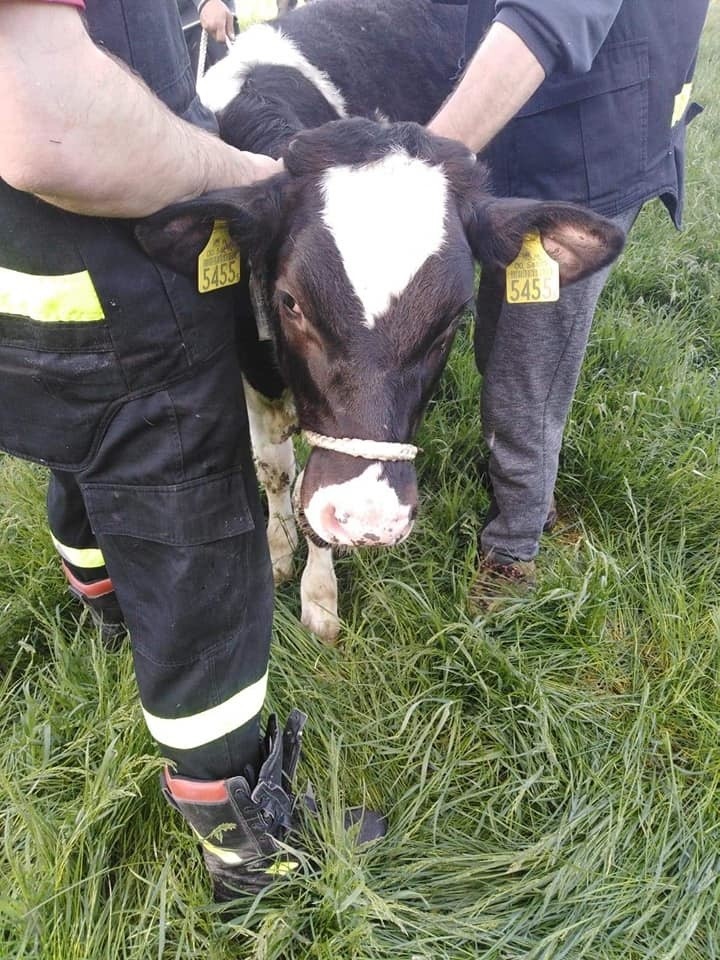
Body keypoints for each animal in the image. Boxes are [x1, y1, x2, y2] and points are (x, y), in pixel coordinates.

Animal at [138, 5, 620, 644]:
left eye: (452, 319)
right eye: (289, 301)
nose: (370, 516)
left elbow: (307, 494)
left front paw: (319, 600)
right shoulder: (249, 365)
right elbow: (277, 472)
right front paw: (278, 549)